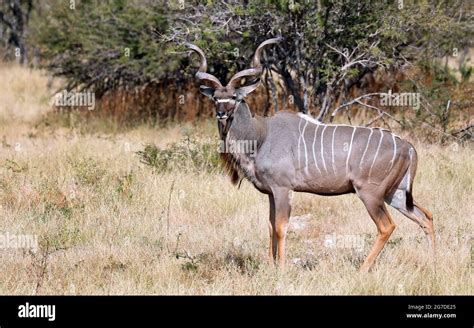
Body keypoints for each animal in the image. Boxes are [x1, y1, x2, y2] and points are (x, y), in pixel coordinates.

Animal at [187, 37, 436, 272]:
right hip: (396, 194)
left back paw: (362, 270)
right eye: (215, 97)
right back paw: (433, 261)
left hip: (371, 194)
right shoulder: (271, 193)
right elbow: (270, 226)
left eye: (235, 98)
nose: (221, 113)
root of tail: (408, 147)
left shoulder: (283, 189)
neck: (260, 136)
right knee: (426, 217)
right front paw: (271, 265)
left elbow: (281, 227)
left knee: (387, 226)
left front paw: (282, 269)